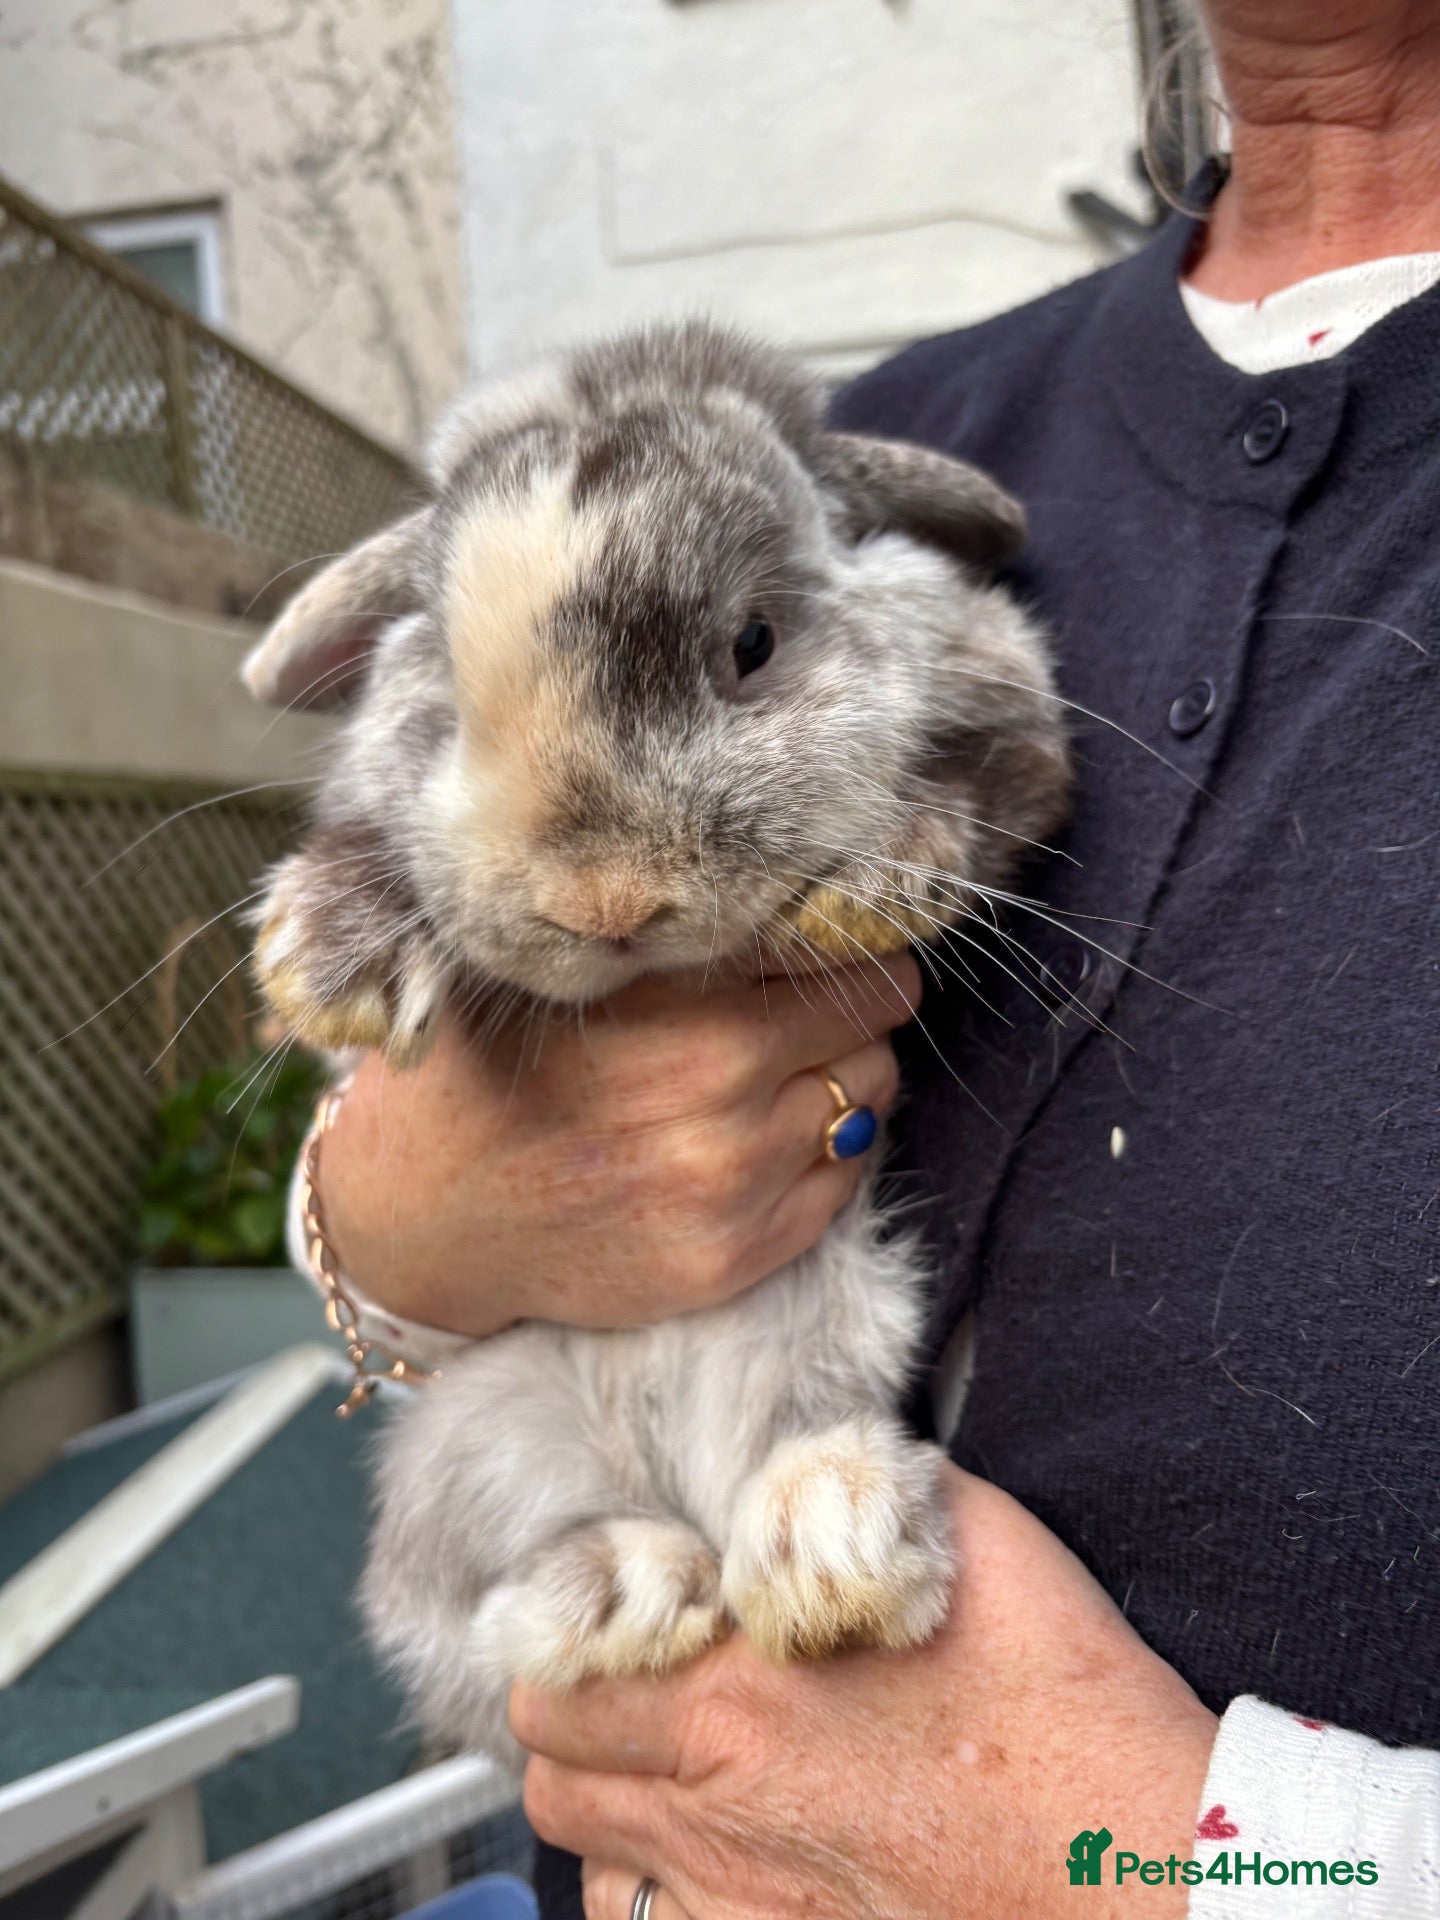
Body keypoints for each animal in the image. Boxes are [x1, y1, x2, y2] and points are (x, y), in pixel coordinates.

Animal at [242, 320, 1070, 1766]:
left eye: (755, 641)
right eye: (443, 687)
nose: (605, 897)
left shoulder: (1019, 716)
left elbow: (987, 793)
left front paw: (871, 883)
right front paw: (326, 958)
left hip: (836, 1325)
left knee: (790, 1460)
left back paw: (829, 1556)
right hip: (479, 1439)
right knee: (493, 1615)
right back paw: (627, 1595)